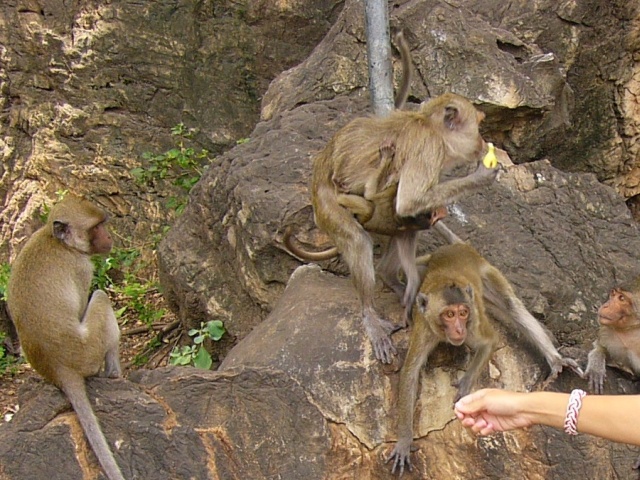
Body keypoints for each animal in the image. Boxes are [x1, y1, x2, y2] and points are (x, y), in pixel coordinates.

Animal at [7, 195, 125, 480]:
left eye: (103, 224)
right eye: (96, 228)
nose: (108, 236)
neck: (58, 242)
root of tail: (60, 369)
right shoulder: (82, 268)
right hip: (88, 351)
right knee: (101, 297)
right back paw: (114, 373)